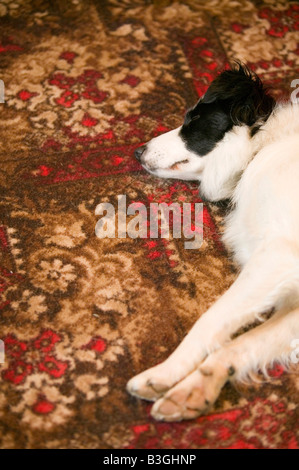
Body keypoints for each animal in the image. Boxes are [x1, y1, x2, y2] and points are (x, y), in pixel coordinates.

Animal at [126, 63, 299, 422]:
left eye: (192, 119)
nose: (138, 151)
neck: (262, 147)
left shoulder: (278, 256)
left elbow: (210, 319)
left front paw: (164, 372)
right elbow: (243, 344)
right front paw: (195, 389)